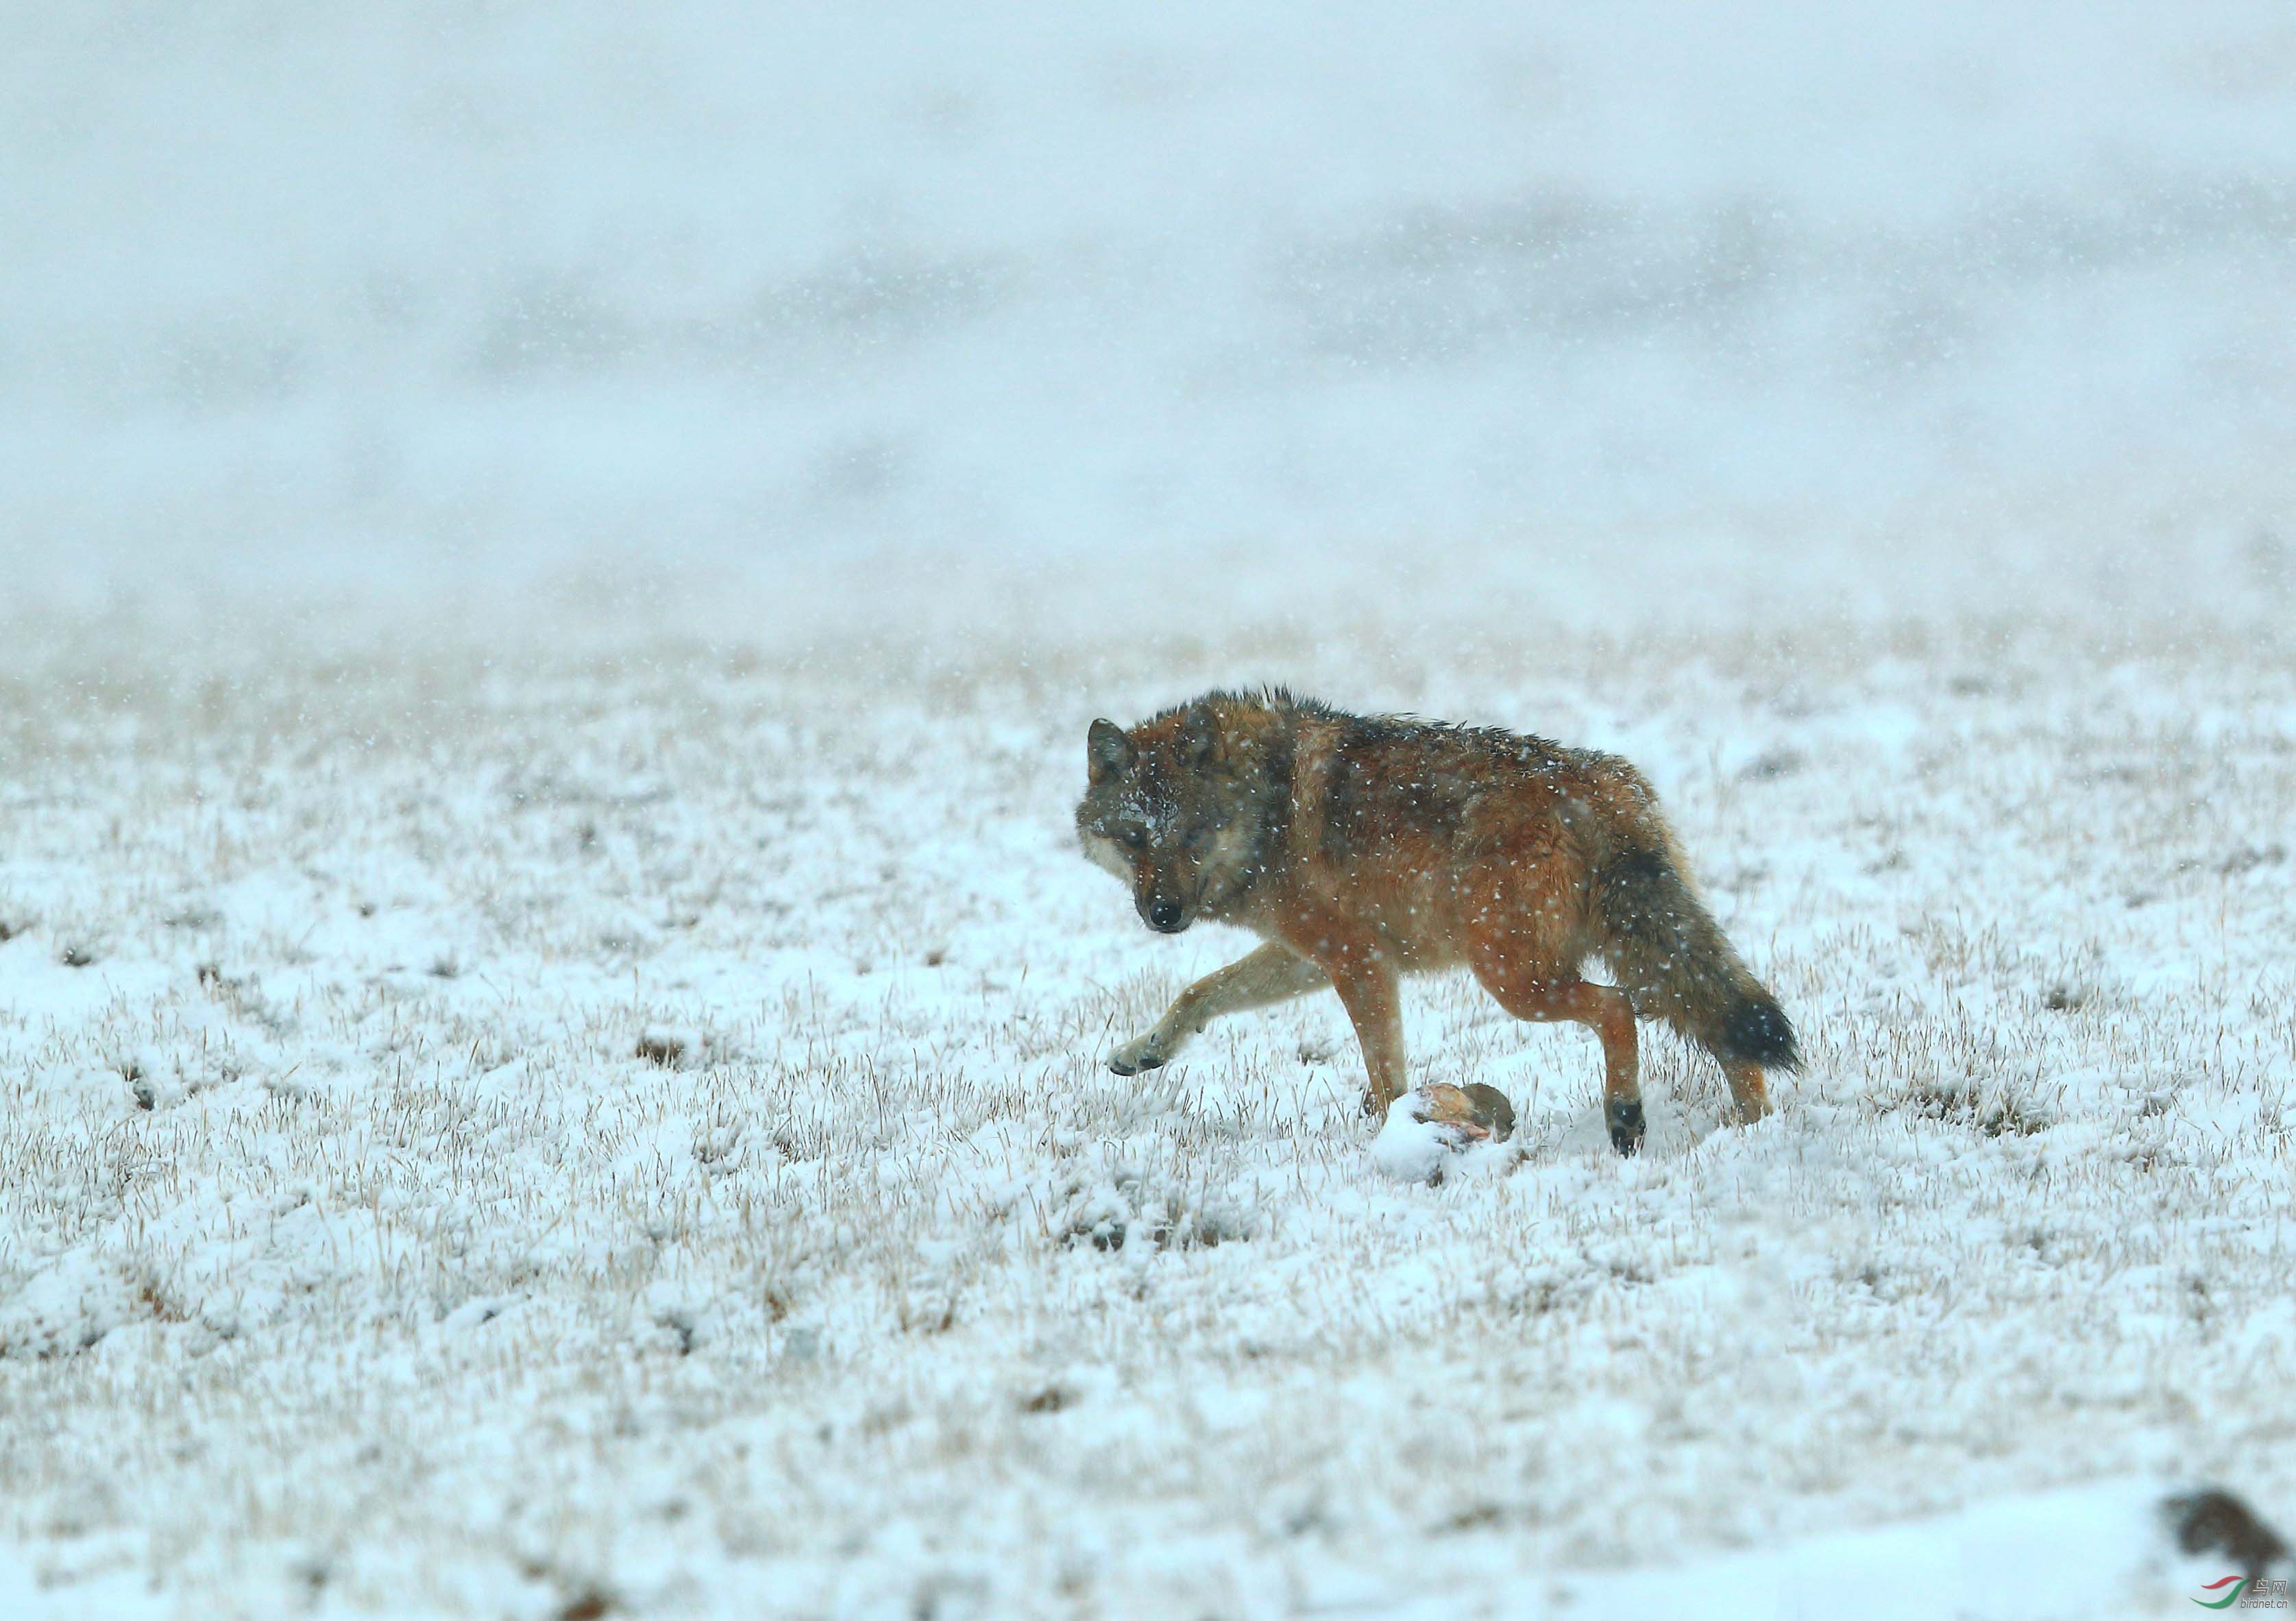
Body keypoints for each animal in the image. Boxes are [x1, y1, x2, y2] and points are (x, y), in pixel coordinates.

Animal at [1070, 688, 1791, 1157]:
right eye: (1135, 838)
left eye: (1190, 836)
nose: (1163, 914)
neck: (1264, 807)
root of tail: (1603, 786)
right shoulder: (1309, 955)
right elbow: (1199, 991)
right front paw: (1142, 1052)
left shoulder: (1357, 961)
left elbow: (1386, 1073)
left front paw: (1394, 1139)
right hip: (1636, 955)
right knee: (1730, 1029)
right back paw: (1751, 1128)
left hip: (1514, 980)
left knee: (1618, 1008)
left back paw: (1626, 1119)